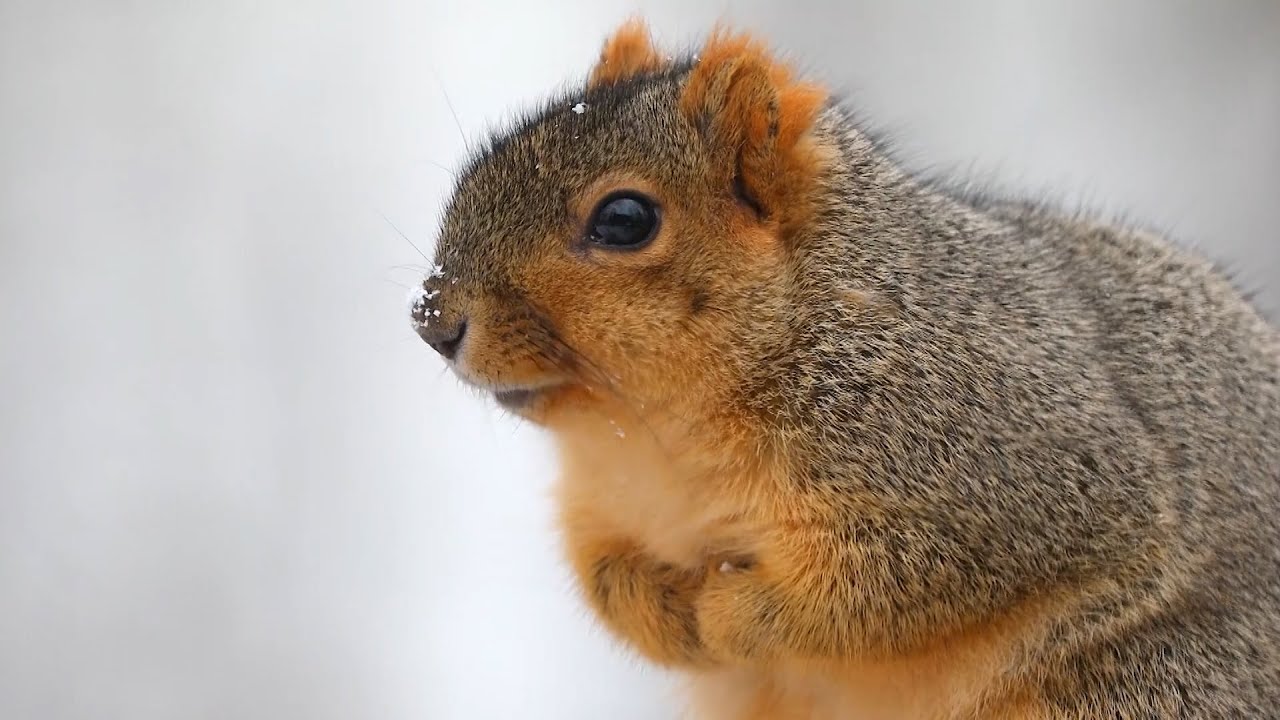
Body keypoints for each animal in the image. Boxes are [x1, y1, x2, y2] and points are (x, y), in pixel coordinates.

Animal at [411, 19, 1280, 720]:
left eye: (625, 219)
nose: (432, 319)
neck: (656, 434)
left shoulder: (1005, 460)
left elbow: (885, 583)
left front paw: (731, 612)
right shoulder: (604, 502)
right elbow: (602, 573)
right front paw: (660, 611)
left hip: (1139, 684)